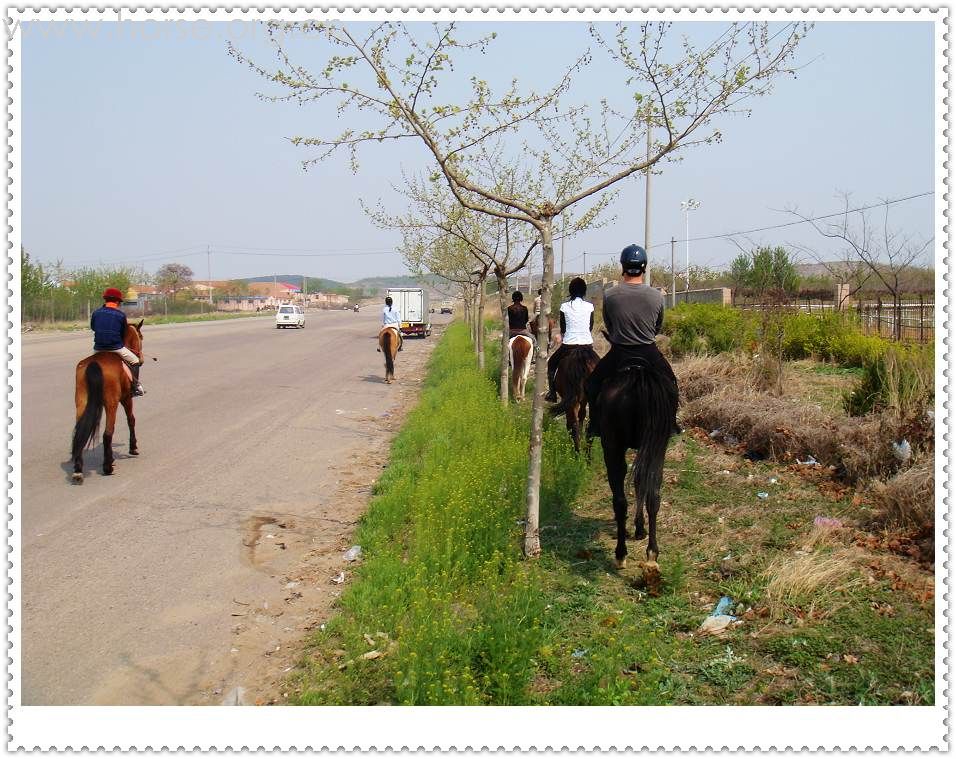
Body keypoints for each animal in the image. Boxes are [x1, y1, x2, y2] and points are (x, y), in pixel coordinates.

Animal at [72, 320, 144, 480]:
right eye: (141, 337)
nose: (141, 359)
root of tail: (94, 364)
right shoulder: (126, 398)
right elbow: (131, 419)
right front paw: (133, 448)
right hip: (112, 403)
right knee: (107, 433)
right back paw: (107, 466)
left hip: (81, 401)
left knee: (79, 431)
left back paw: (78, 469)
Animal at [596, 360, 680, 596]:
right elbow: (642, 484)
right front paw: (640, 528)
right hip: (659, 446)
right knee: (654, 495)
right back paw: (652, 554)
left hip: (612, 447)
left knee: (620, 501)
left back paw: (620, 554)